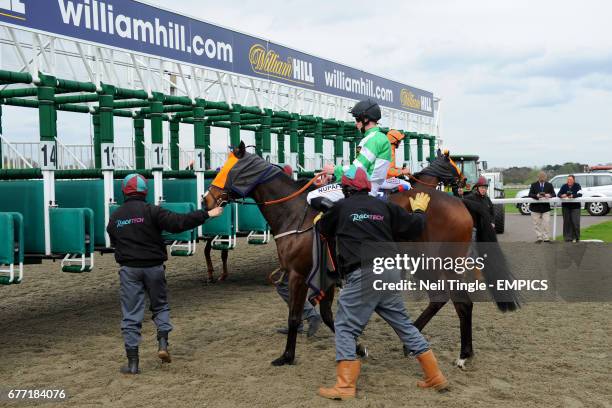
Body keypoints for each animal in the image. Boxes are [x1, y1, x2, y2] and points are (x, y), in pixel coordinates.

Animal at [208, 143, 520, 366]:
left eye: (226, 170)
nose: (207, 198)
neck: (296, 213)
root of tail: (461, 203)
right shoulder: (326, 277)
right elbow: (327, 315)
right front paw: (357, 347)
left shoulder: (299, 274)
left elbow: (294, 316)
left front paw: (286, 356)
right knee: (446, 301)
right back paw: (424, 343)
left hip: (441, 264)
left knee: (459, 303)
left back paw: (459, 353)